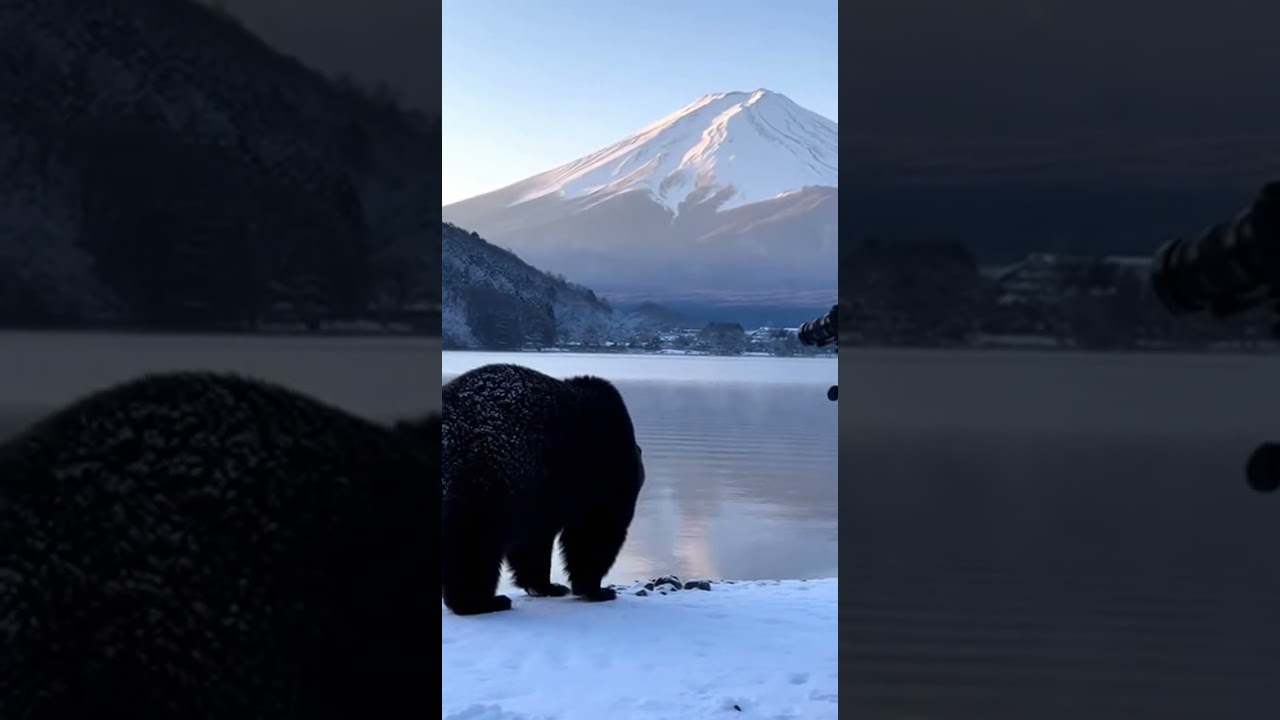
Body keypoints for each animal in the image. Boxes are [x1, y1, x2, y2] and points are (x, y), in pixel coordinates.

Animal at [441, 363, 645, 616]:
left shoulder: (546, 493)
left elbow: (533, 544)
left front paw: (549, 586)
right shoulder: (598, 475)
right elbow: (594, 531)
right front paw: (597, 589)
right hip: (484, 476)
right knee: (474, 544)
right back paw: (483, 601)